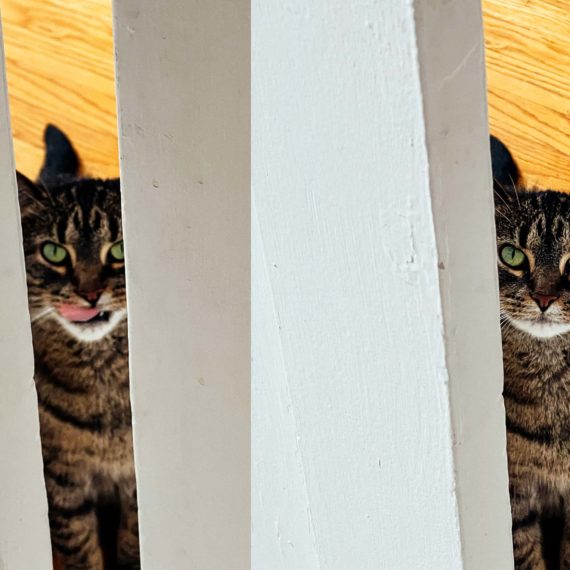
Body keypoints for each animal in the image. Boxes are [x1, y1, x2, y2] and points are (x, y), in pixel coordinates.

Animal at [18, 125, 139, 568]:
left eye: (119, 249)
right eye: (54, 251)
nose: (89, 294)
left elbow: (132, 541)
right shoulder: (61, 480)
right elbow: (79, 547)